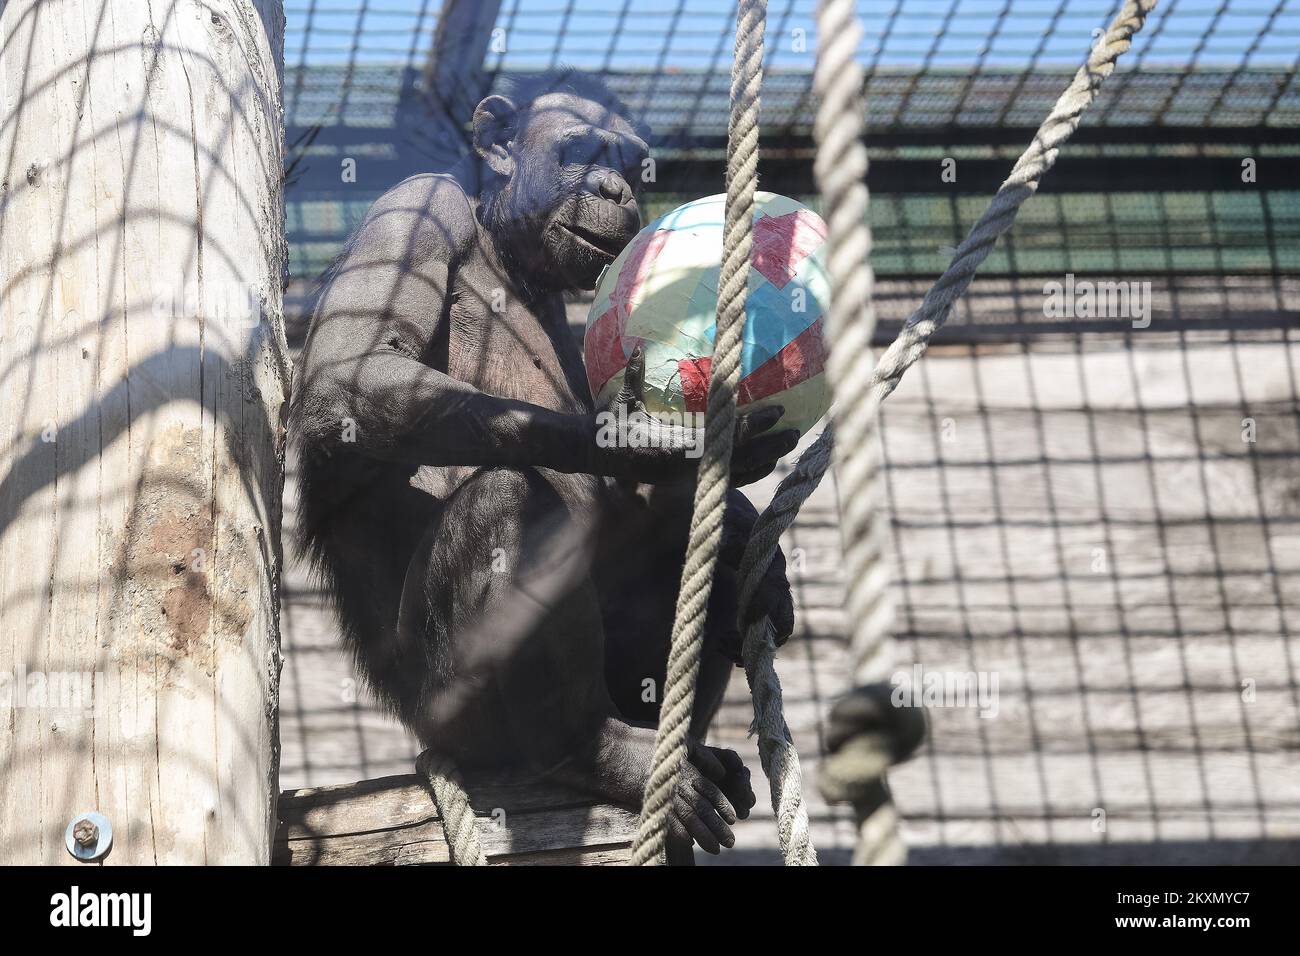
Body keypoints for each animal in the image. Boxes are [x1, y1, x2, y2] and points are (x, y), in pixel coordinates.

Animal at [293, 70, 795, 858]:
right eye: (582, 150)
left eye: (631, 164)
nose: (616, 190)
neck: (507, 253)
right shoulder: (415, 208)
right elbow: (351, 375)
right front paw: (636, 437)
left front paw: (758, 550)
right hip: (455, 716)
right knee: (505, 499)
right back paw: (597, 751)